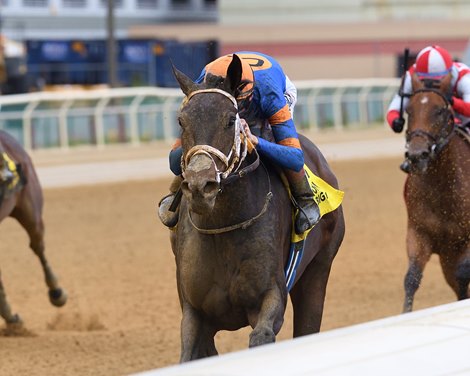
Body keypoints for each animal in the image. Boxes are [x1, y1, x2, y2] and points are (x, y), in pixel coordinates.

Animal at [170, 55, 346, 362]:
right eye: (181, 121)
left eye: (231, 120)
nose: (200, 185)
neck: (223, 228)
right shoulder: (193, 312)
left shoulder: (271, 297)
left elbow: (261, 336)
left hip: (319, 268)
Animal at [400, 72, 470, 312]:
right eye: (409, 110)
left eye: (439, 110)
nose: (417, 155)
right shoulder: (418, 232)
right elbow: (411, 278)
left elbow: (463, 275)